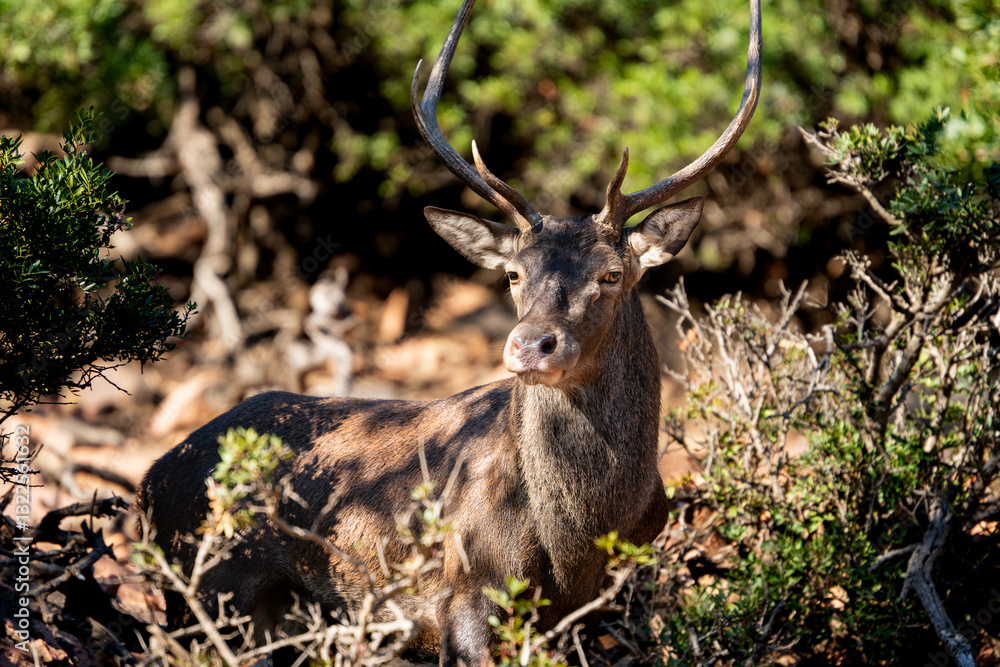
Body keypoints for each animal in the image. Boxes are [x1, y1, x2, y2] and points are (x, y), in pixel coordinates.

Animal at [134, 0, 760, 663]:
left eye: (611, 274)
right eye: (513, 273)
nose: (531, 344)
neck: (582, 541)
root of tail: (148, 483)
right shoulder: (466, 587)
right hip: (213, 590)